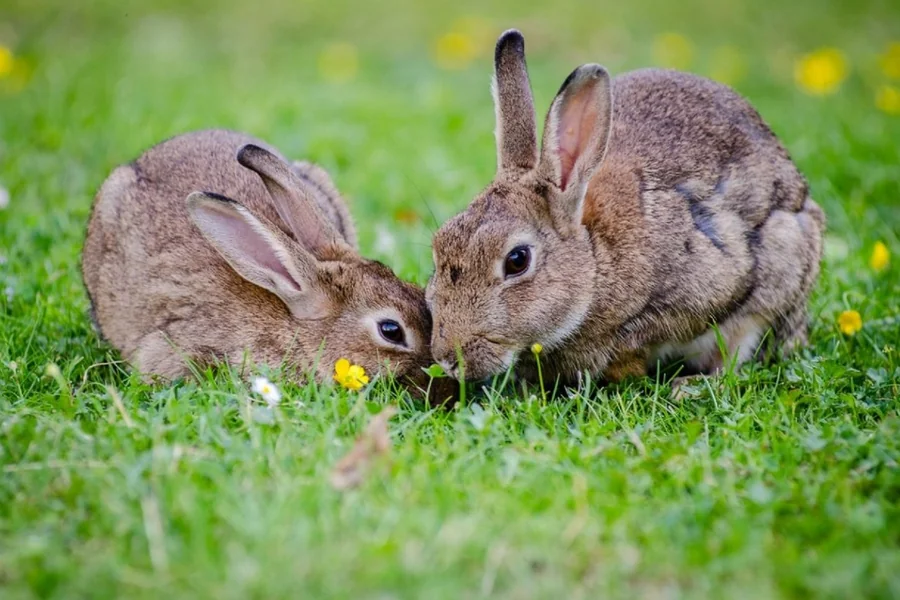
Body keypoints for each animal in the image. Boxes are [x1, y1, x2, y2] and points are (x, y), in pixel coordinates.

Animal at [426, 30, 825, 387]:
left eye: (517, 260)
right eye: (439, 246)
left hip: (783, 258)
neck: (594, 261)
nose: (448, 358)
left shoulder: (708, 284)